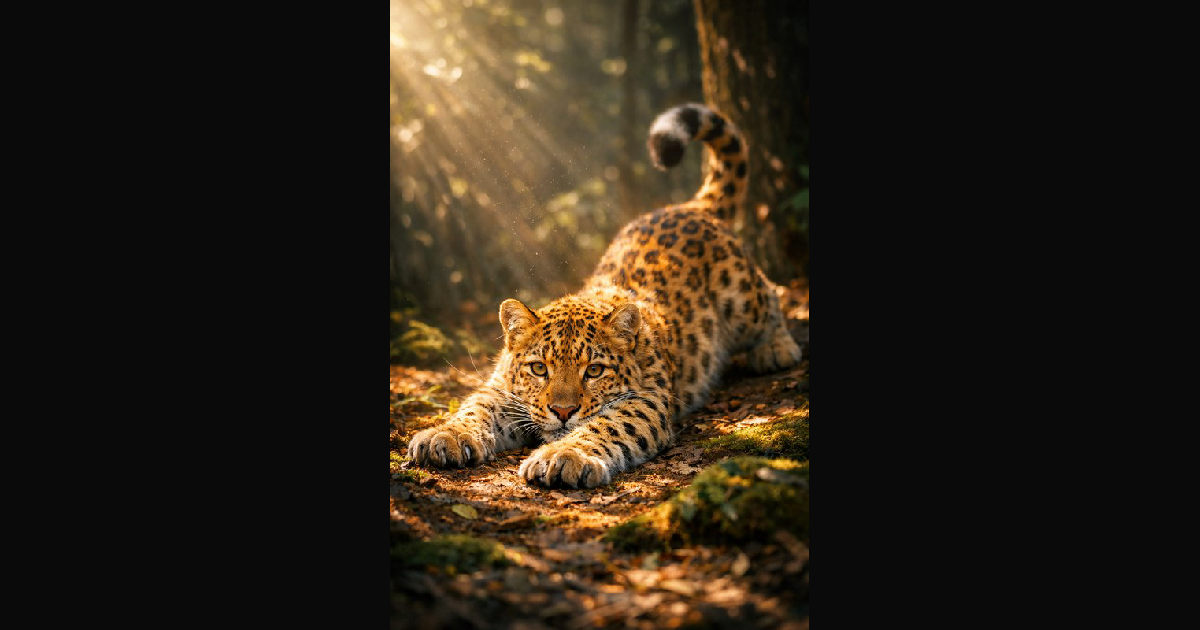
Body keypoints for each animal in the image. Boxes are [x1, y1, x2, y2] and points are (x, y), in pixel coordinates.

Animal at [407, 103, 802, 488]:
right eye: (539, 368)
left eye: (594, 370)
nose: (563, 412)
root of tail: (687, 208)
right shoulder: (501, 391)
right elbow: (475, 407)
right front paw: (444, 436)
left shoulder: (644, 400)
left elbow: (603, 426)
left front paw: (564, 455)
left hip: (742, 299)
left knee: (771, 294)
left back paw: (776, 349)